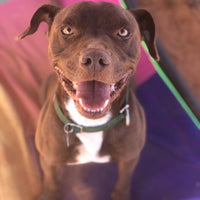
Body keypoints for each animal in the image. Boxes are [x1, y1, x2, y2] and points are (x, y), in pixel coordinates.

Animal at [19, 1, 159, 200]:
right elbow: (51, 182)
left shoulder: (130, 159)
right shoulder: (48, 161)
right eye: (67, 30)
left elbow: (123, 182)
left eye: (123, 32)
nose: (94, 57)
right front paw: (49, 193)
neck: (92, 125)